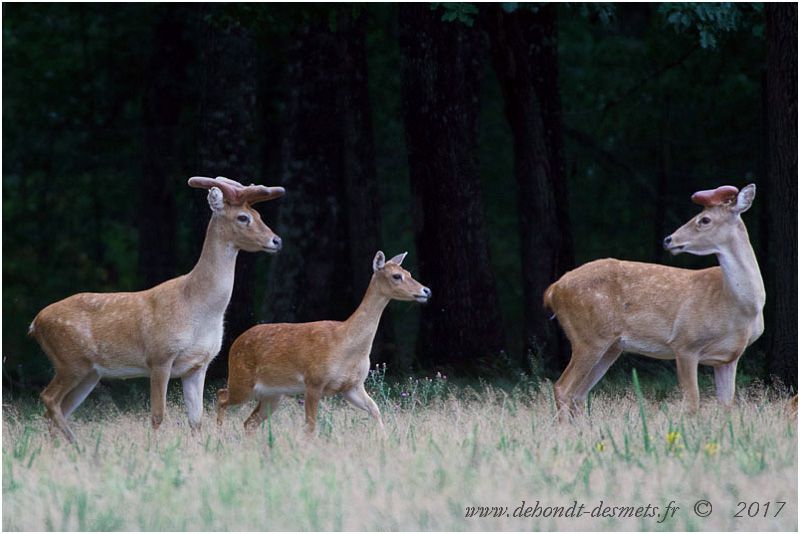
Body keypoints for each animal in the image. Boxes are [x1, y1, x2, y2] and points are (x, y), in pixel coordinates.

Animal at [29, 178, 286, 442]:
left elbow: (196, 419)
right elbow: (158, 415)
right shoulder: (160, 356)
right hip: (69, 361)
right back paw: (76, 443)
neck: (196, 306)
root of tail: (35, 323)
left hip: (89, 372)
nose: (277, 241)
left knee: (59, 408)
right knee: (49, 399)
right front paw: (153, 446)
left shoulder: (199, 364)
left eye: (259, 214)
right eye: (243, 217)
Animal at [216, 252, 432, 436]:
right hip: (241, 381)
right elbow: (311, 426)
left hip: (272, 394)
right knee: (221, 396)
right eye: (396, 276)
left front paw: (385, 439)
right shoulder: (314, 380)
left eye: (409, 273)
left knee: (248, 422)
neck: (346, 344)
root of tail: (234, 344)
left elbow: (375, 409)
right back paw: (218, 435)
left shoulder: (352, 386)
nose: (426, 290)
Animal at [548, 185, 764, 418]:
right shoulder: (685, 342)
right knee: (563, 387)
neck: (739, 308)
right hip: (587, 337)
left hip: (610, 346)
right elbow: (692, 403)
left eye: (705, 219)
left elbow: (726, 407)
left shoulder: (729, 358)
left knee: (579, 394)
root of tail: (552, 290)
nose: (668, 240)